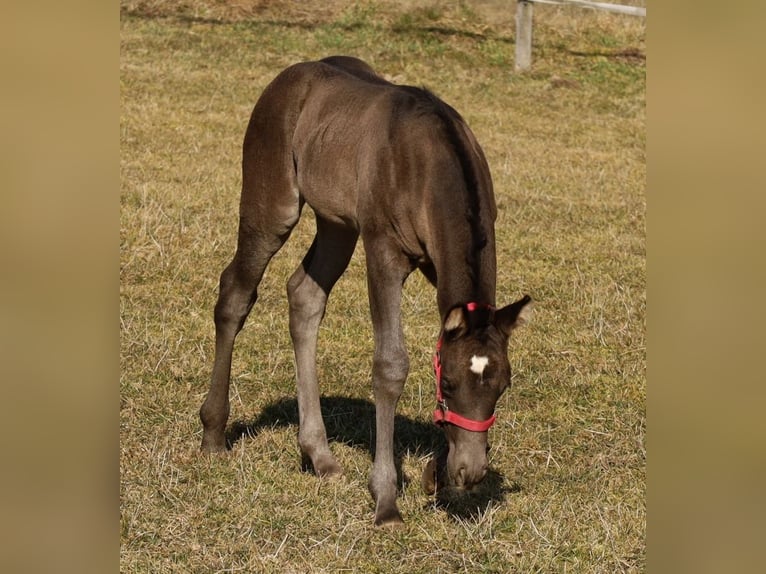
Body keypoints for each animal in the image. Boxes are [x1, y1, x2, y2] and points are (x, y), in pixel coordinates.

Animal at [200, 57, 536, 528]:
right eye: (449, 384)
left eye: (503, 385)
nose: (470, 473)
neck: (433, 161)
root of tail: (288, 76)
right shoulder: (384, 252)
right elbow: (391, 364)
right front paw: (387, 500)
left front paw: (436, 471)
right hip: (273, 204)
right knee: (235, 294)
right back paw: (213, 433)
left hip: (338, 224)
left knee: (304, 294)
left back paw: (318, 454)